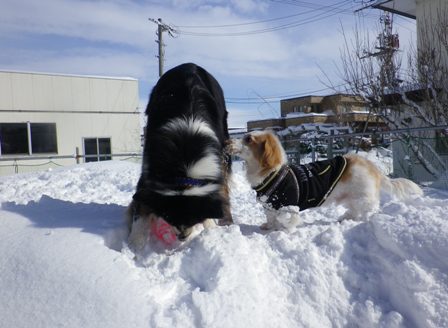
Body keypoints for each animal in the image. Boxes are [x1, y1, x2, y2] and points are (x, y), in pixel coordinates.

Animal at [126, 62, 231, 249]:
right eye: (168, 216)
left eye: (194, 218)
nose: (182, 237)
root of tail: (189, 64)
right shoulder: (147, 172)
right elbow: (142, 207)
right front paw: (134, 245)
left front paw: (211, 228)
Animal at [231, 129, 424, 229]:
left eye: (248, 139)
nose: (228, 141)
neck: (273, 173)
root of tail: (371, 165)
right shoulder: (270, 204)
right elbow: (271, 217)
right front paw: (269, 226)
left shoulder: (288, 206)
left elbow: (286, 221)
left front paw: (282, 230)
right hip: (352, 197)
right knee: (354, 210)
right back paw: (345, 218)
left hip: (363, 197)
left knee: (368, 209)